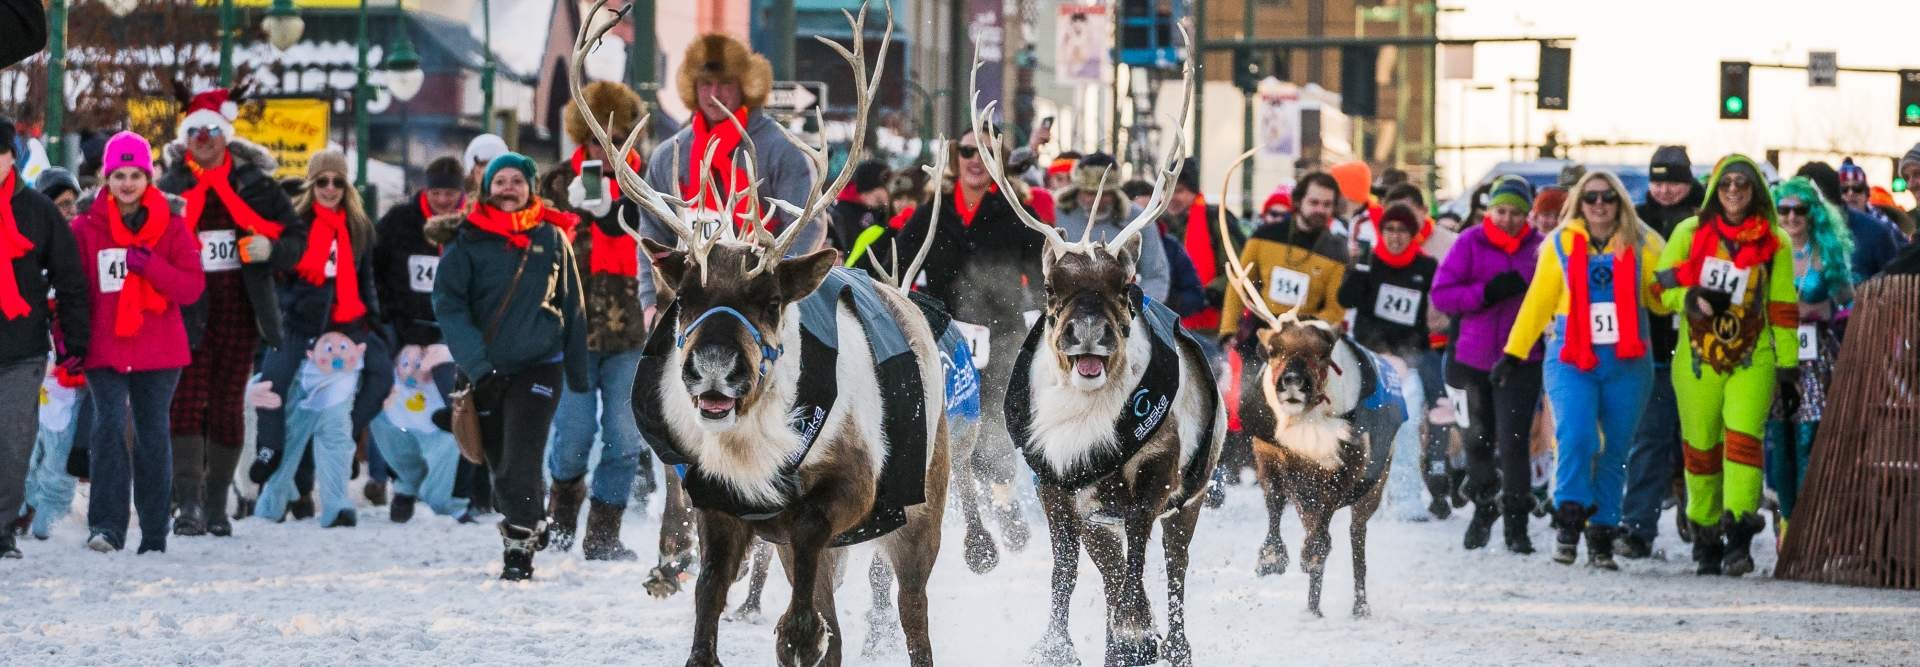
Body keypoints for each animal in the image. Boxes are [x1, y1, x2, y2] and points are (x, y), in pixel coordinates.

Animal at [569, 3, 951, 666]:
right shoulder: (716, 502)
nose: (714, 369)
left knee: (912, 617)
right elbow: (707, 596)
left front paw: (790, 632)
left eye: (771, 301)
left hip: (920, 514)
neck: (750, 449)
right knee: (835, 621)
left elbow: (804, 580)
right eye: (685, 299)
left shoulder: (847, 491)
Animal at [969, 34, 1224, 667]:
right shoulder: (1056, 483)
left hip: (1194, 492)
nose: (1087, 333)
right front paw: (1058, 645)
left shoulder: (1155, 474)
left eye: (1124, 288)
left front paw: (1137, 636)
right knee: (1107, 567)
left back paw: (1172, 643)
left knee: (1172, 567)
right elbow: (1068, 568)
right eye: (1051, 290)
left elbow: (1137, 560)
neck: (1084, 424)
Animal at [1215, 146, 1408, 618]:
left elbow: (1322, 537)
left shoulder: (1348, 471)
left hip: (1377, 484)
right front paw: (1272, 559)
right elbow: (1275, 505)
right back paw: (1313, 602)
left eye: (1324, 353)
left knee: (1356, 538)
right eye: (1273, 350)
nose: (1291, 383)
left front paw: (1306, 563)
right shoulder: (1273, 455)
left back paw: (1358, 604)